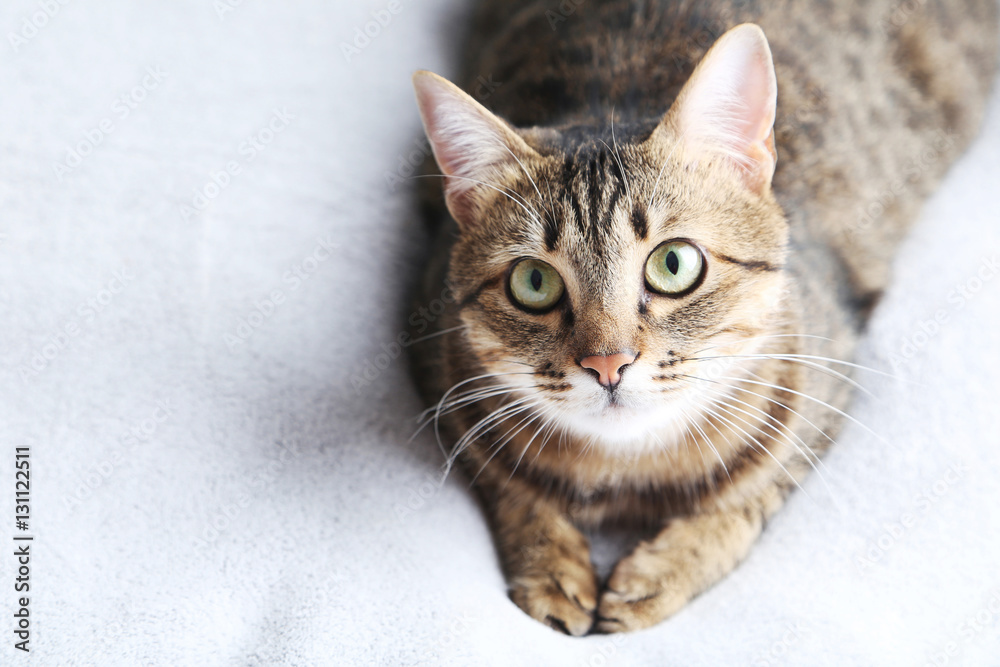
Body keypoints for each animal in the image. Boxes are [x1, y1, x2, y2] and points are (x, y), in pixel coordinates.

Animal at [404, 0, 992, 636]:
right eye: (534, 282)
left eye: (674, 263)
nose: (607, 363)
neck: (628, 472)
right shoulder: (435, 357)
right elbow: (507, 487)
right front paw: (549, 568)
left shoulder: (826, 379)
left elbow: (747, 498)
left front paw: (664, 573)